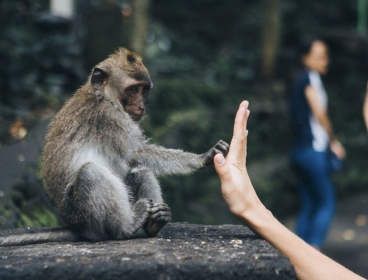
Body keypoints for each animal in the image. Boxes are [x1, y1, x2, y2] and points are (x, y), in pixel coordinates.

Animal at [0, 47, 229, 245]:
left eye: (144, 90)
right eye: (133, 89)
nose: (140, 106)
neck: (105, 96)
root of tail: (74, 227)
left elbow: (136, 161)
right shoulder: (107, 116)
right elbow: (134, 154)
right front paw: (202, 158)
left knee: (139, 171)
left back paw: (154, 224)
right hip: (85, 217)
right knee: (91, 173)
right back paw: (125, 227)